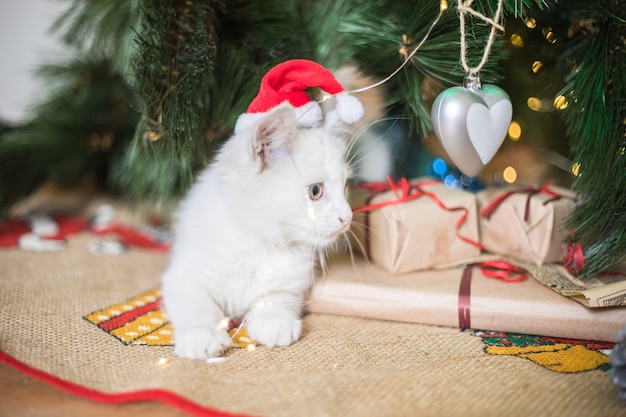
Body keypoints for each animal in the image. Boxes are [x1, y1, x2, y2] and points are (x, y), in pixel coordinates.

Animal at [161, 103, 354, 358]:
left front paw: (273, 321)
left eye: (346, 187)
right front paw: (202, 333)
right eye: (315, 191)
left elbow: (275, 297)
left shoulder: (291, 282)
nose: (348, 217)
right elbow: (196, 305)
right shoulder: (184, 275)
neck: (261, 244)